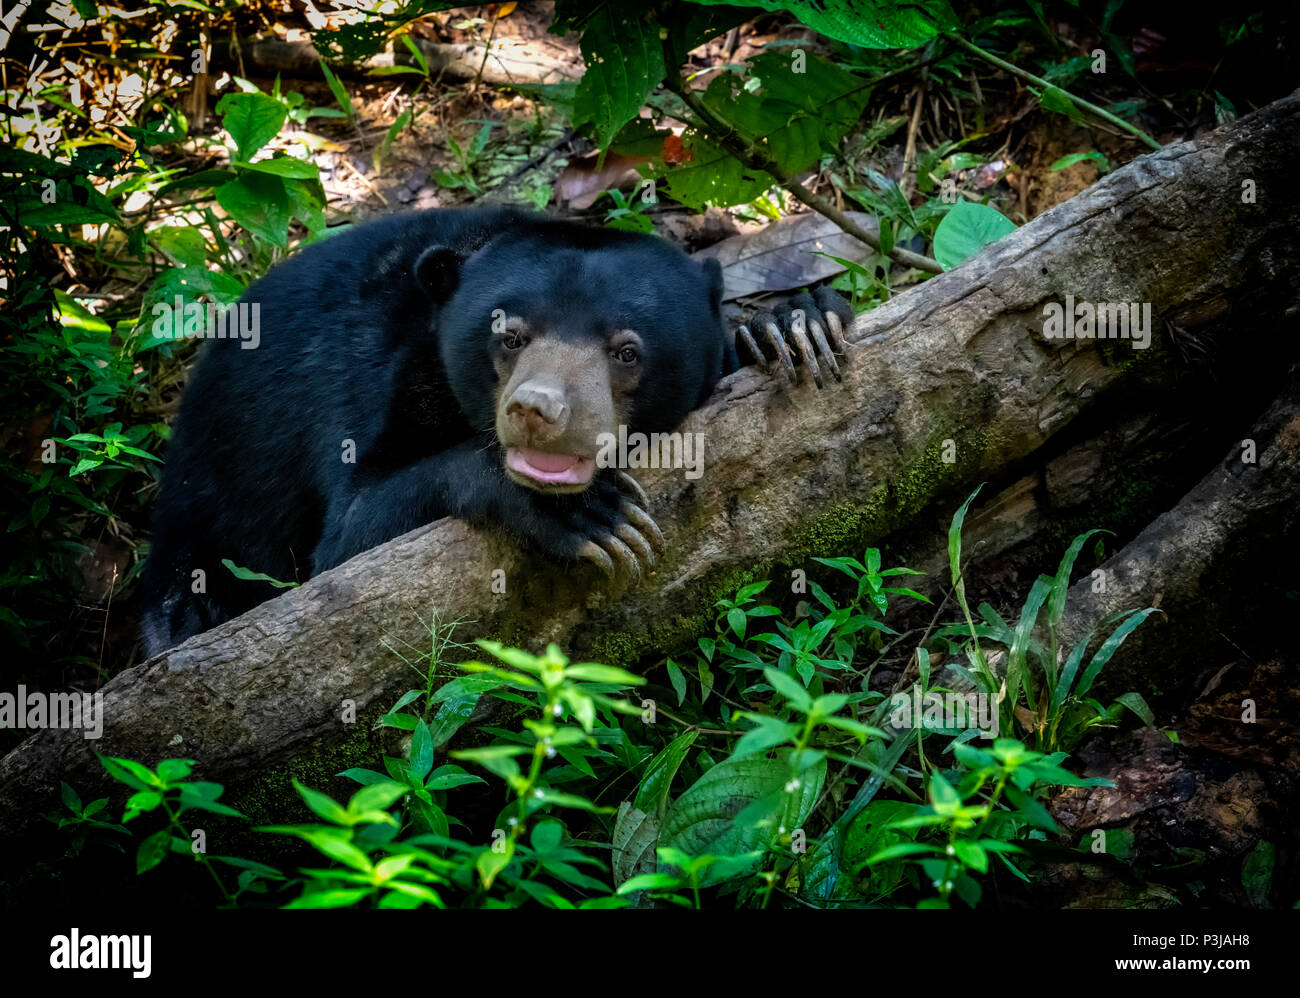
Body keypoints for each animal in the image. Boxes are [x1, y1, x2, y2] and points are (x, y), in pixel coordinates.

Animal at [138, 206, 852, 657]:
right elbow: (348, 539)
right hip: (212, 493)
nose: (539, 410)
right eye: (509, 336)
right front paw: (591, 517)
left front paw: (795, 325)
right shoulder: (374, 378)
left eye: (626, 351)